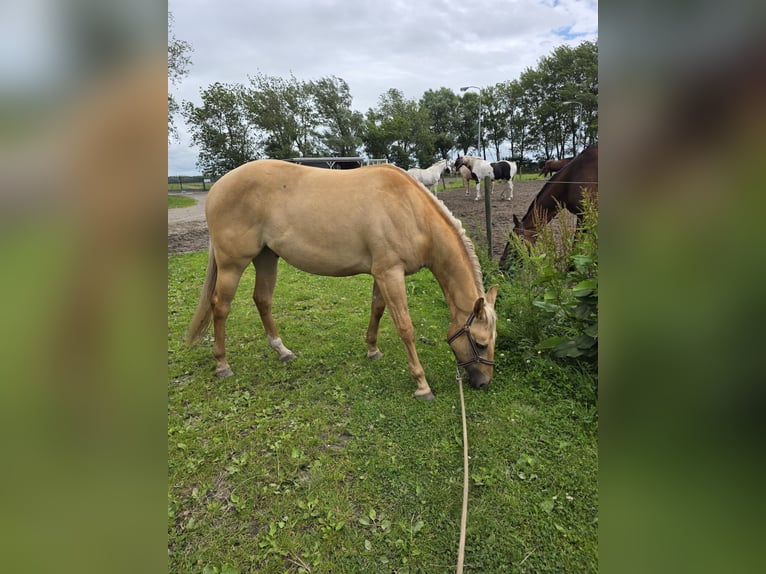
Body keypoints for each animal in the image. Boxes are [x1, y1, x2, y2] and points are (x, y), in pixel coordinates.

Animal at [186, 160, 498, 400]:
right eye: (481, 343)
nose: (484, 382)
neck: (410, 210)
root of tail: (217, 187)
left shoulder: (381, 273)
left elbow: (377, 309)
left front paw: (372, 350)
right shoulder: (390, 273)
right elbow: (405, 327)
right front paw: (422, 385)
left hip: (266, 257)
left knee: (262, 300)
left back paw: (282, 350)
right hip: (232, 264)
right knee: (220, 307)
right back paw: (222, 364)